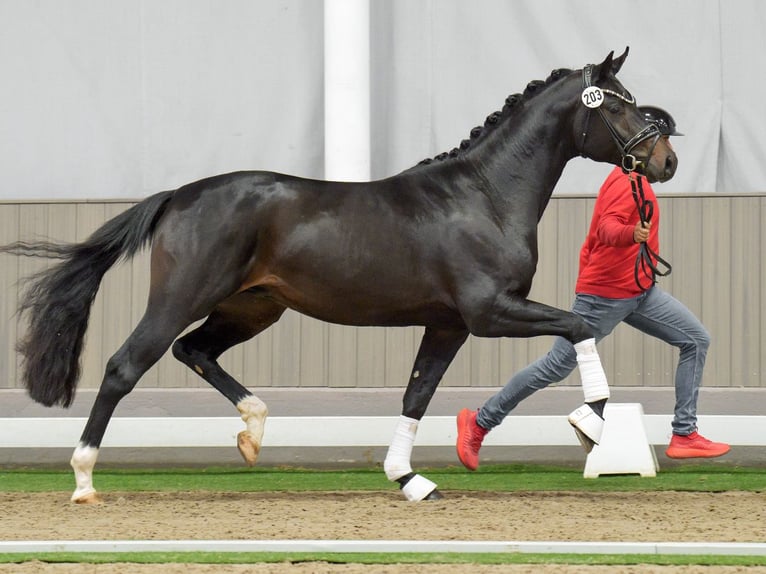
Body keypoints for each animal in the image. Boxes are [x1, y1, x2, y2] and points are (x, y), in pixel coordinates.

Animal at [1, 50, 680, 508]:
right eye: (618, 102)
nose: (665, 159)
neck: (484, 196)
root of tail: (177, 197)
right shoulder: (491, 312)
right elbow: (579, 326)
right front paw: (592, 421)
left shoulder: (449, 325)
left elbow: (417, 395)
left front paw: (410, 480)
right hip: (182, 298)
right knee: (125, 366)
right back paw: (84, 479)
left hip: (253, 308)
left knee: (193, 350)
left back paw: (253, 432)